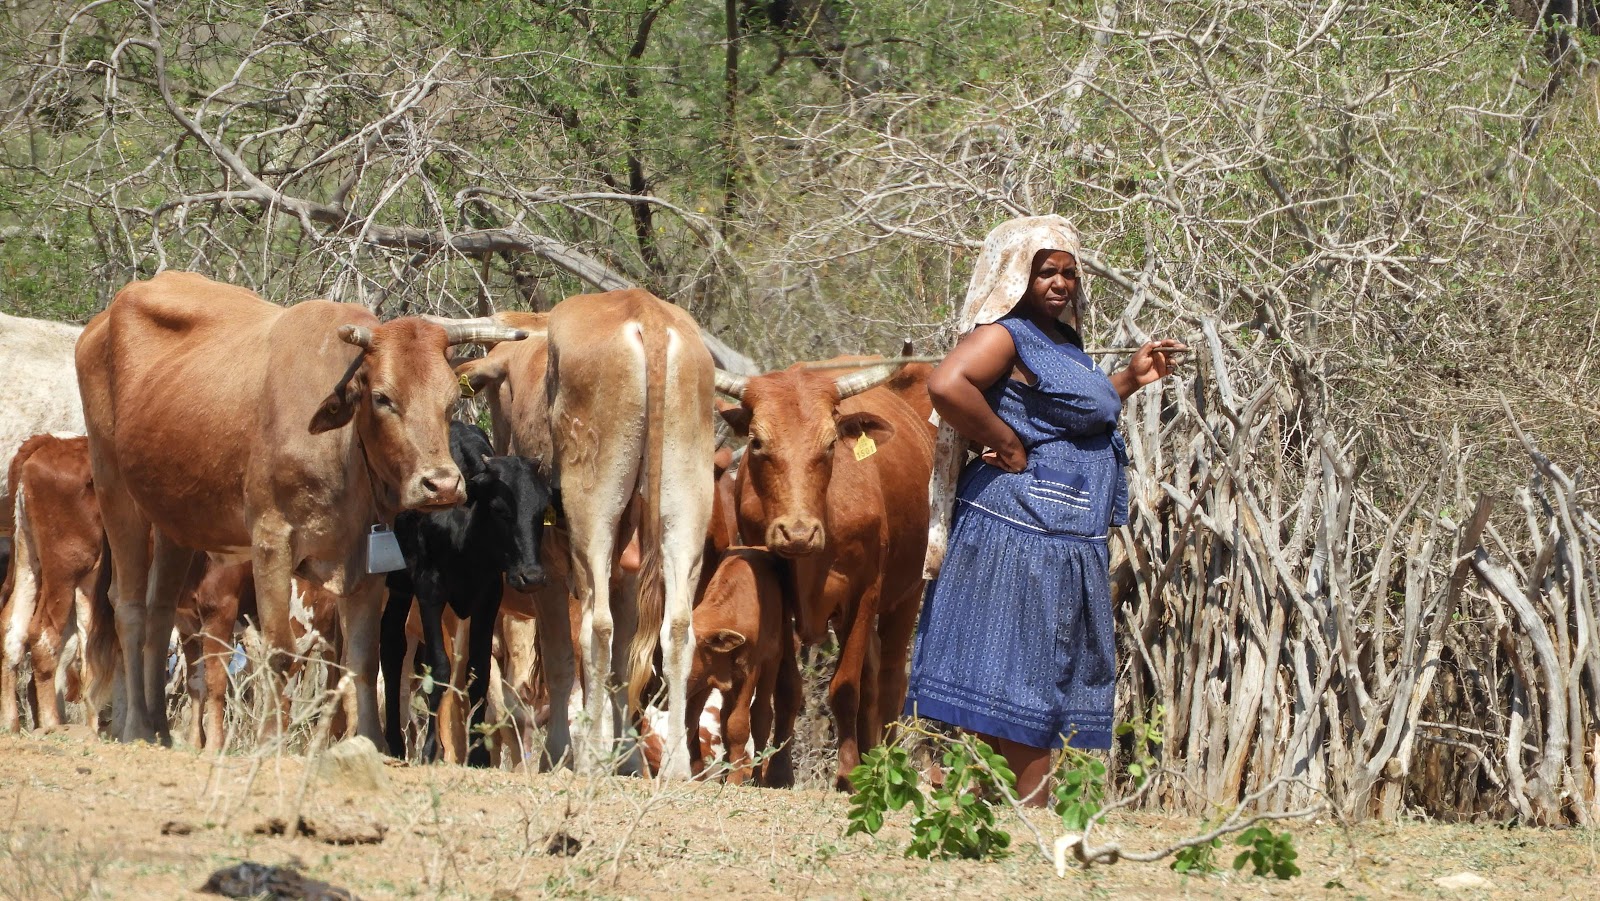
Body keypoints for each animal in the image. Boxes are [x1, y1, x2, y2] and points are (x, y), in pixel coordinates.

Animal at [75, 270, 524, 748]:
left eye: (451, 400)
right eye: (383, 398)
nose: (441, 484)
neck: (344, 450)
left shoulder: (369, 558)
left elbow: (362, 658)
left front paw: (370, 740)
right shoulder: (272, 543)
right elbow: (279, 651)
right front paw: (272, 738)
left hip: (174, 519)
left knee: (159, 609)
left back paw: (159, 726)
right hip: (114, 486)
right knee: (128, 606)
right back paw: (136, 726)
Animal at [380, 422, 550, 768]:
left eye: (541, 510)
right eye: (499, 509)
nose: (532, 576)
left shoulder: (488, 597)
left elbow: (479, 672)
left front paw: (479, 753)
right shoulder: (429, 590)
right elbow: (440, 669)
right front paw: (431, 749)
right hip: (398, 584)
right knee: (391, 647)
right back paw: (395, 744)